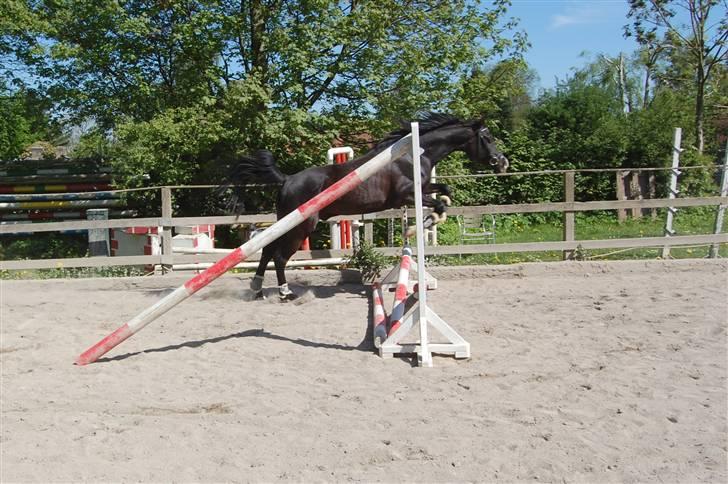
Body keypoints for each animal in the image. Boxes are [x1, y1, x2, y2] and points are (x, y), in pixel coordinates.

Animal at [219, 113, 508, 301]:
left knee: (267, 250)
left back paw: (257, 289)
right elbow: (436, 205)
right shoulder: (405, 196)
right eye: (487, 138)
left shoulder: (421, 189)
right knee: (279, 257)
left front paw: (434, 215)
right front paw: (419, 226)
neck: (414, 154)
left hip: (286, 222)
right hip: (302, 225)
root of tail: (287, 179)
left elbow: (444, 193)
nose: (503, 162)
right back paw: (285, 293)